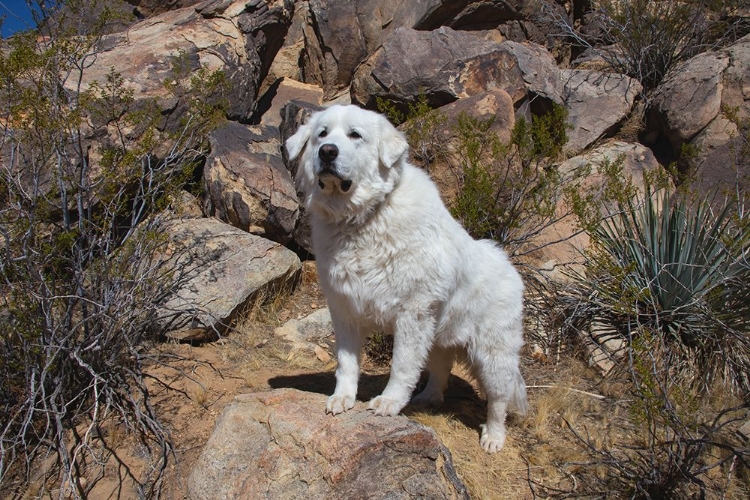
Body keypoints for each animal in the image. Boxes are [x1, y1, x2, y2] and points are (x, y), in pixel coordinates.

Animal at [286, 105, 528, 454]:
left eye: (355, 135)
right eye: (322, 134)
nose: (327, 152)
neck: (361, 219)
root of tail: (511, 269)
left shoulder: (412, 314)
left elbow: (401, 365)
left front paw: (389, 402)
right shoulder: (344, 310)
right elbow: (346, 363)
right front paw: (342, 398)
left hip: (493, 355)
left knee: (498, 399)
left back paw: (493, 437)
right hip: (440, 337)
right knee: (440, 370)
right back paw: (427, 399)